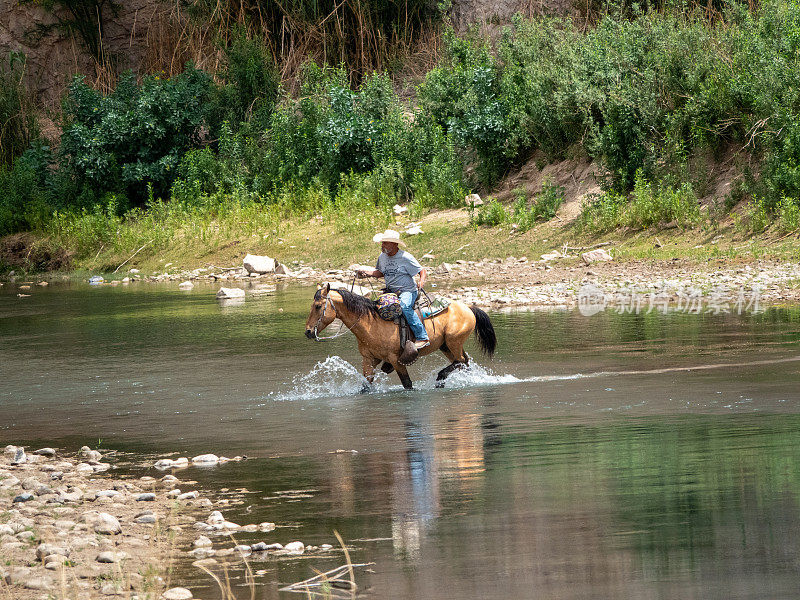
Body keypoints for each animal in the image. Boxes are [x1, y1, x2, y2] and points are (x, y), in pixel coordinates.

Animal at [304, 284, 496, 392]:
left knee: (460, 362)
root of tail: (469, 308)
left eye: (318, 306)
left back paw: (440, 379)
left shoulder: (396, 360)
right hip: (446, 346)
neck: (371, 323)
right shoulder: (369, 359)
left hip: (453, 341)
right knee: (464, 362)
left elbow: (407, 384)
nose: (308, 332)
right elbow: (365, 387)